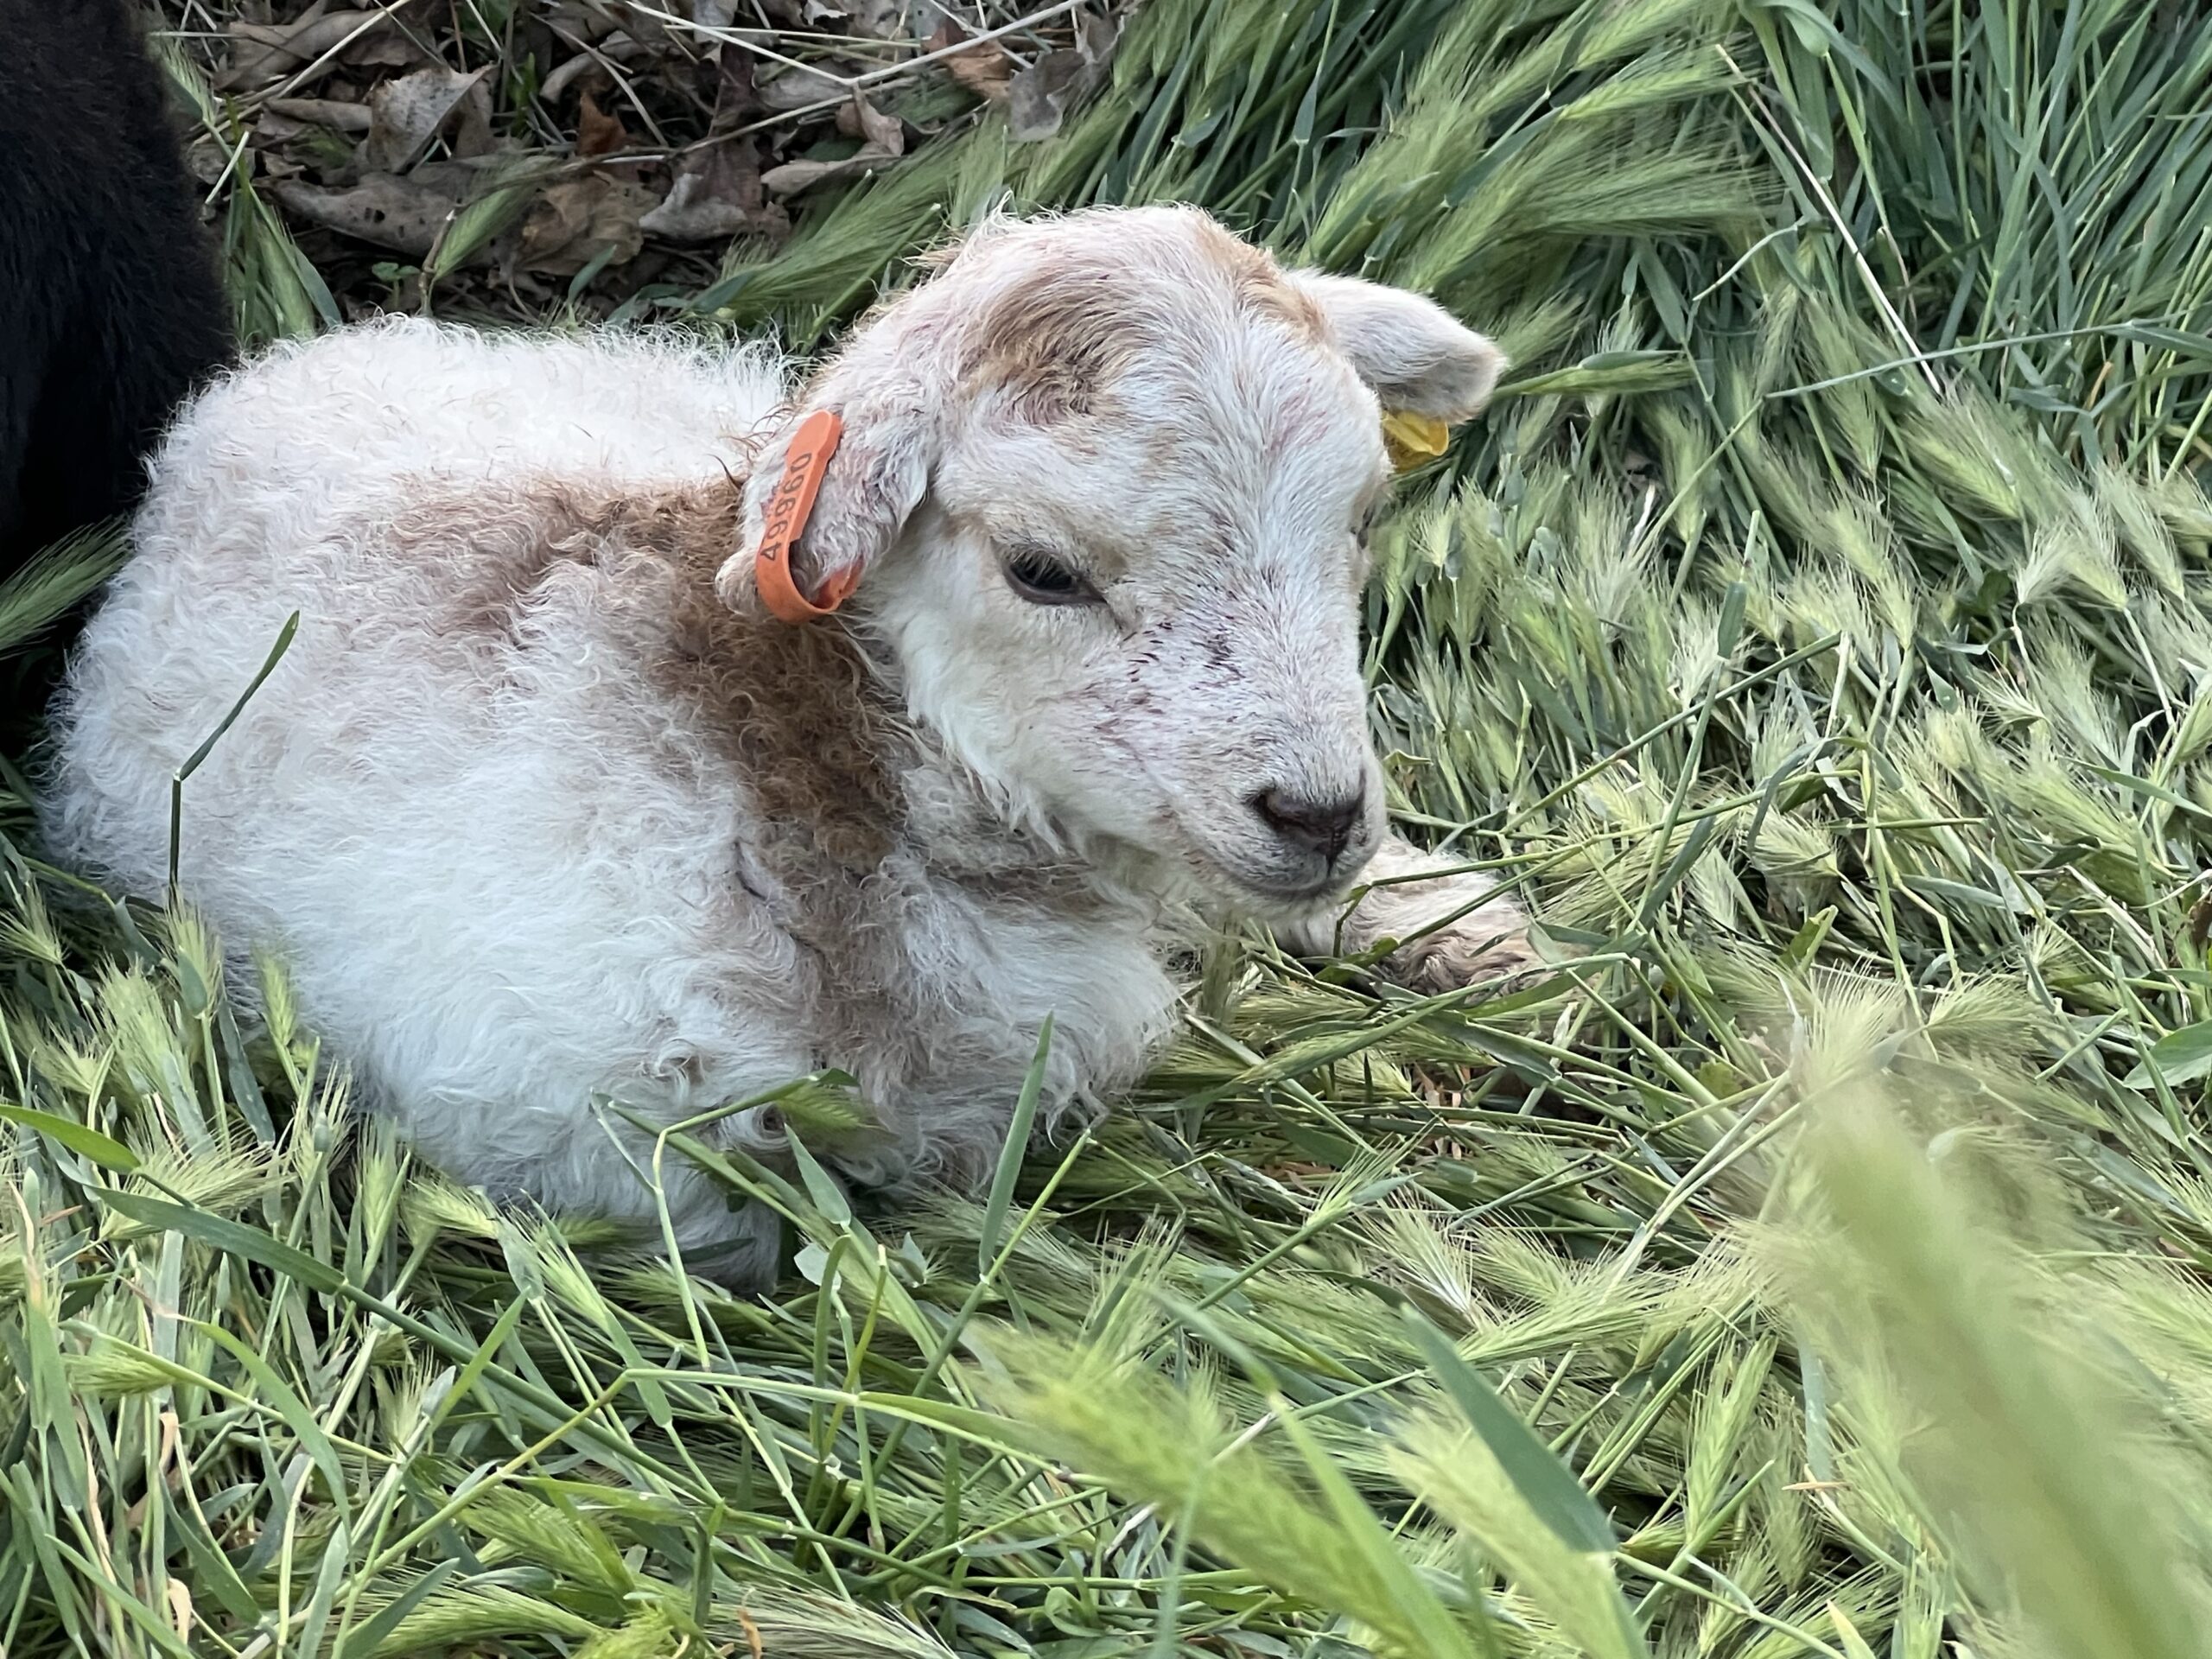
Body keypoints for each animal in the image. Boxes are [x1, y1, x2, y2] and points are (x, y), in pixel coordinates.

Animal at [45, 205, 1536, 1286]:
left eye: (1360, 520)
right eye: (1042, 570)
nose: (1319, 812)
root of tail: (272, 386)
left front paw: (1440, 919)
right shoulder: (577, 1123)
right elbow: (746, 1233)